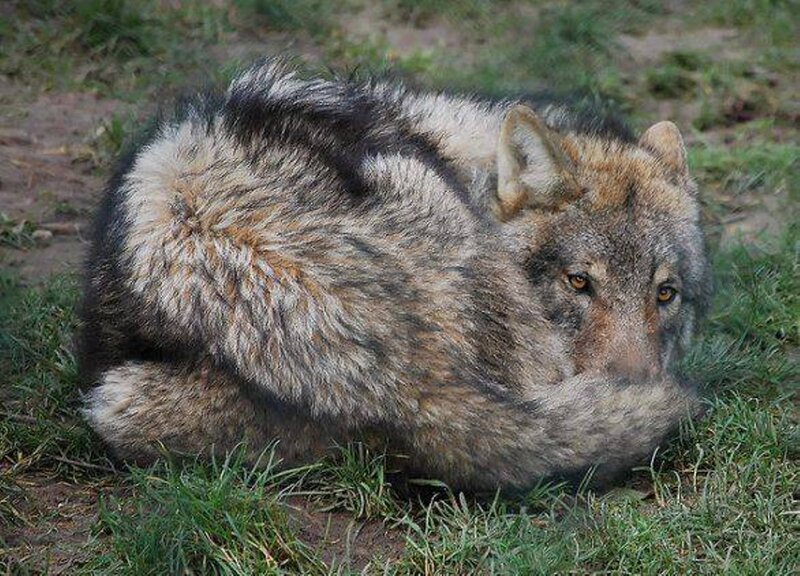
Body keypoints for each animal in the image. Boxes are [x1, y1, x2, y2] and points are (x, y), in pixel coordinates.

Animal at [77, 60, 711, 491]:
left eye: (665, 294)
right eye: (579, 283)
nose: (635, 384)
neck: (461, 152)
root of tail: (411, 379)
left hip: (122, 402)